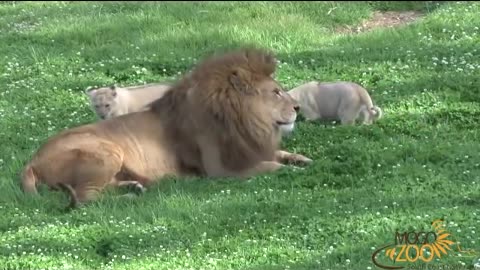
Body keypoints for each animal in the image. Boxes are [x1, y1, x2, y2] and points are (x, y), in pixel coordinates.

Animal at [21, 47, 316, 208]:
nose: (298, 108)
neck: (244, 122)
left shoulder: (250, 147)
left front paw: (303, 159)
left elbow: (278, 155)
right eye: (276, 92)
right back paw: (129, 198)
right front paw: (296, 171)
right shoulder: (223, 170)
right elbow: (272, 167)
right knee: (86, 199)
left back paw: (134, 187)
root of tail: (32, 160)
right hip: (106, 151)